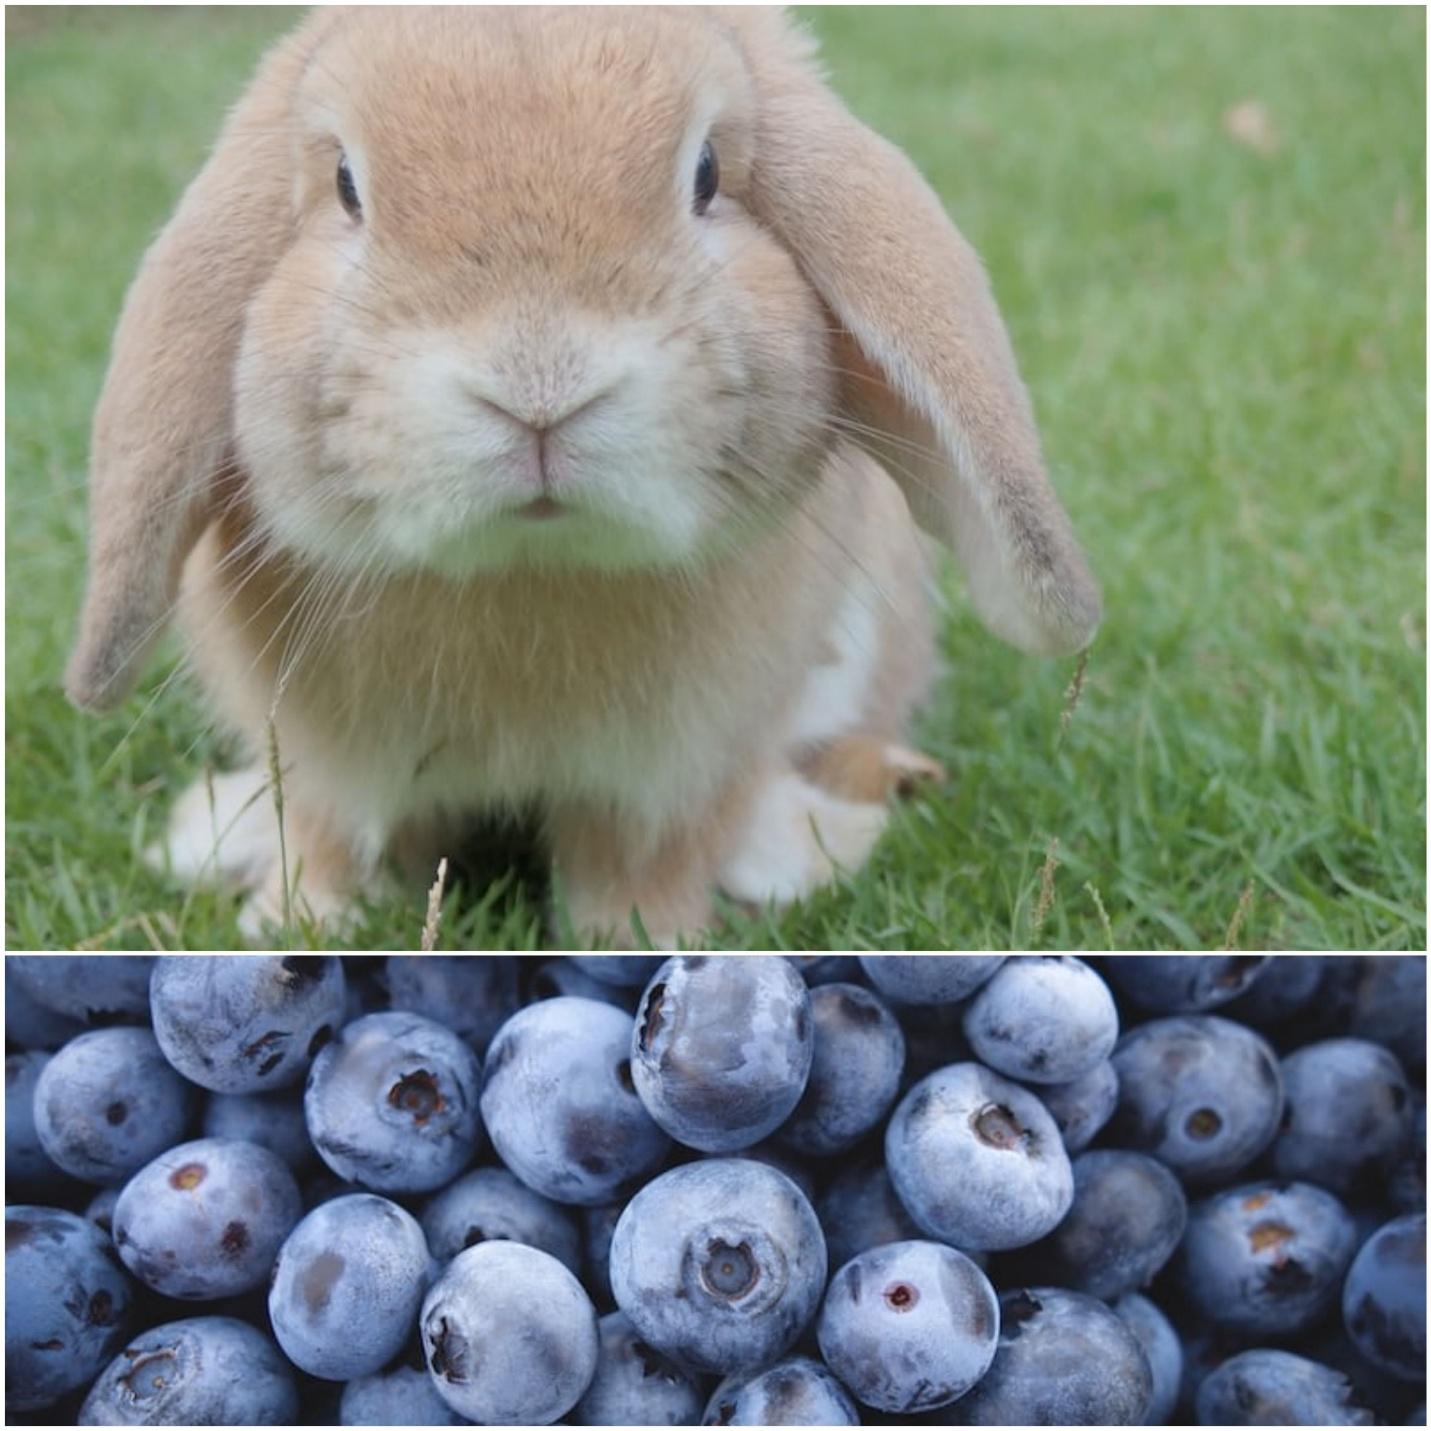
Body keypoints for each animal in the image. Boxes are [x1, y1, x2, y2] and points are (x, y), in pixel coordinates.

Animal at [65, 6, 1100, 947]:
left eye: (707, 174)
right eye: (347, 186)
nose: (538, 387)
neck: (528, 570)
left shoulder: (674, 775)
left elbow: (639, 867)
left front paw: (643, 941)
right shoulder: (322, 764)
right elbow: (331, 840)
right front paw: (295, 924)